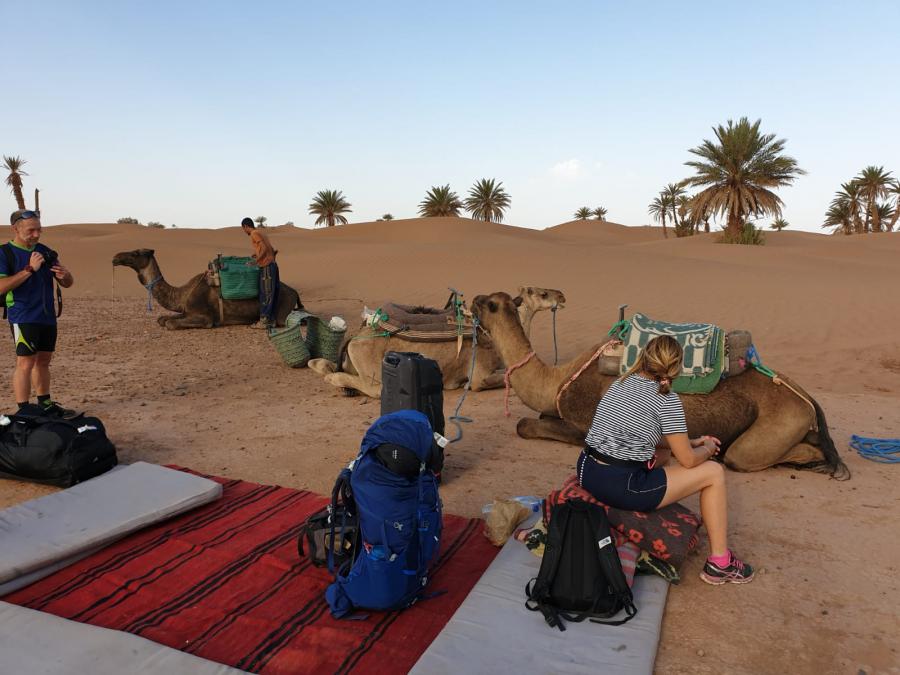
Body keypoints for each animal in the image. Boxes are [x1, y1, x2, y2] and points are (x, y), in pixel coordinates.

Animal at [110, 250, 300, 332]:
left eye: (136, 253)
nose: (115, 257)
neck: (181, 295)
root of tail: (295, 292)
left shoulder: (205, 316)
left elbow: (170, 323)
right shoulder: (187, 311)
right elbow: (162, 319)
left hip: (282, 311)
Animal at [310, 286, 564, 402]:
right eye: (541, 293)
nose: (561, 295)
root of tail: (356, 336)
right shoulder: (479, 377)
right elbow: (497, 380)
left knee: (323, 365)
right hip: (372, 372)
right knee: (368, 386)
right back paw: (338, 382)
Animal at [472, 294, 852, 478]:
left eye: (490, 304)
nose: (472, 300)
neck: (558, 379)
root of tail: (804, 396)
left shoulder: (586, 425)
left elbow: (525, 424)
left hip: (773, 426)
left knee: (742, 456)